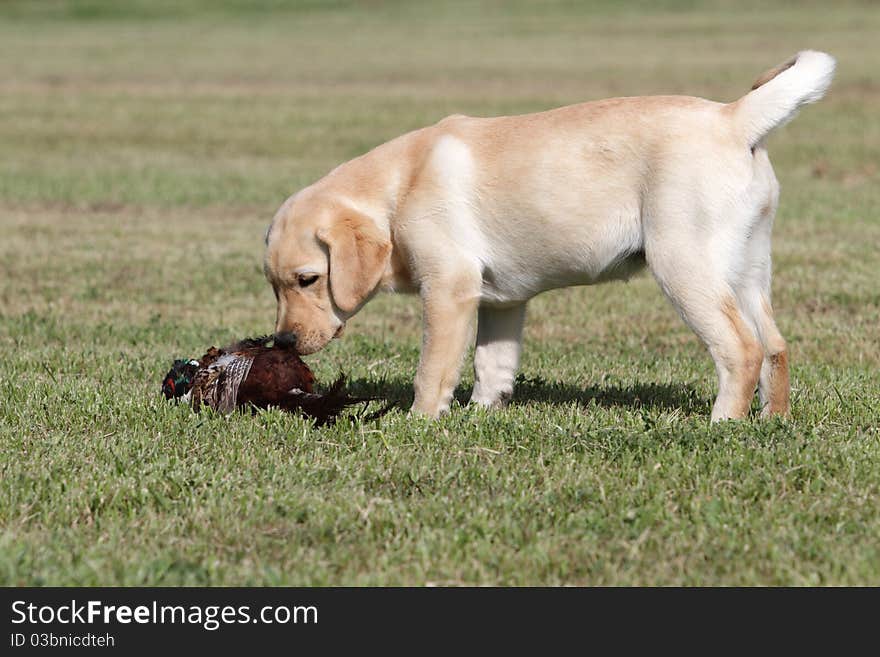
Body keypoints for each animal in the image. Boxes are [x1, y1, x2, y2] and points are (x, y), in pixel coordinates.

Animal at [264, 51, 836, 420]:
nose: (282, 342)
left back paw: (723, 424)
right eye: (274, 287)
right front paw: (482, 416)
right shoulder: (501, 302)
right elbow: (492, 366)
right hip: (748, 269)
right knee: (776, 346)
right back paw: (773, 421)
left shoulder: (449, 290)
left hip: (685, 266)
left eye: (308, 279)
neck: (397, 187)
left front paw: (420, 424)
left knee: (742, 348)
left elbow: (432, 370)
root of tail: (734, 119)